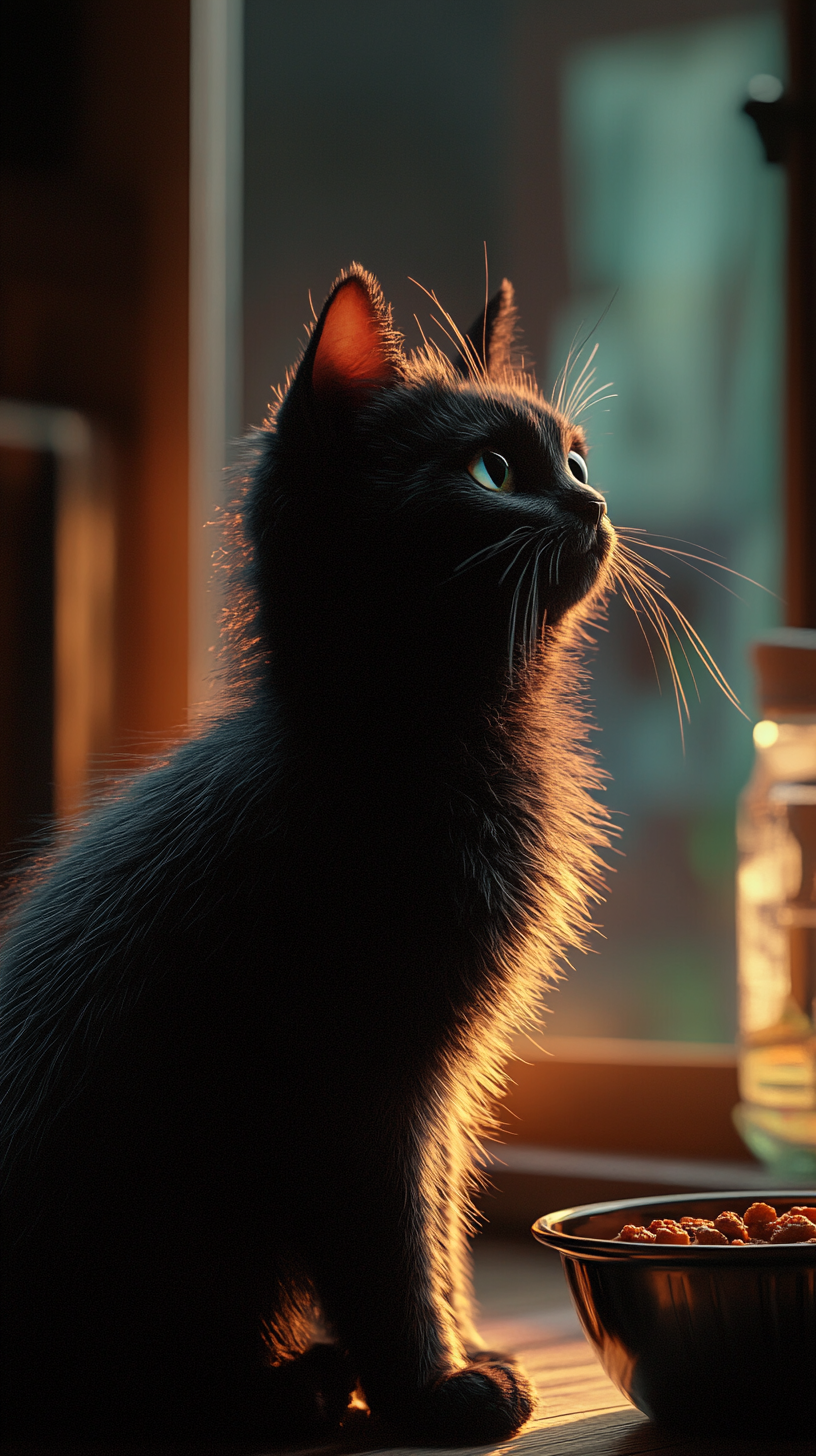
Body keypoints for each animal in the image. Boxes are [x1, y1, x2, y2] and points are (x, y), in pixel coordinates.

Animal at [0, 270, 612, 1444]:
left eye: (575, 457)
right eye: (493, 470)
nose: (594, 502)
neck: (420, 741)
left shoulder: (441, 1087)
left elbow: (439, 1225)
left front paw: (465, 1351)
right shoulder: (358, 1084)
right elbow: (391, 1249)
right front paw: (436, 1390)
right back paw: (287, 1389)